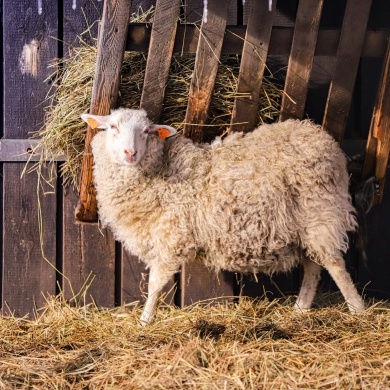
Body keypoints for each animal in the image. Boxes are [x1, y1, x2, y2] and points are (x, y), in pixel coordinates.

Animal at [81, 108, 366, 324]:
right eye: (113, 126)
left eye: (146, 132)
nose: (131, 153)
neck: (161, 171)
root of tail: (320, 137)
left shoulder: (170, 237)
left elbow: (154, 285)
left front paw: (144, 321)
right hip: (304, 226)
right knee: (312, 267)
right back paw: (301, 308)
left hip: (321, 213)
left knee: (334, 265)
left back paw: (358, 309)